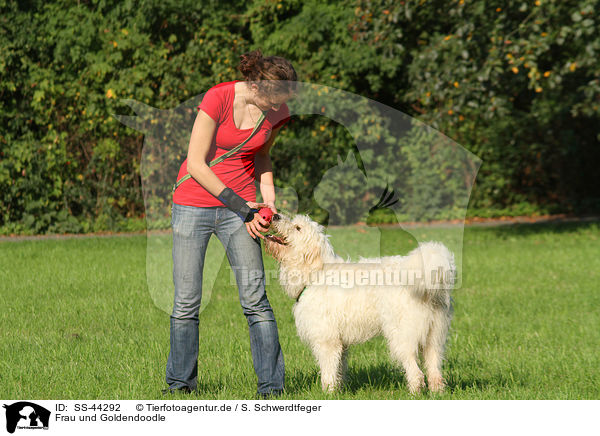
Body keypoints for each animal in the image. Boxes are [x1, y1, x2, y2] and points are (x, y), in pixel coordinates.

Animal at [264, 213, 458, 394]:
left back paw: (414, 393)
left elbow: (328, 371)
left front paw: (327, 393)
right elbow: (339, 369)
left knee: (416, 373)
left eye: (298, 228)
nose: (275, 215)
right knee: (435, 372)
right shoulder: (340, 343)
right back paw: (437, 392)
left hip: (402, 336)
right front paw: (338, 391)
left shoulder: (326, 339)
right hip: (434, 337)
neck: (315, 272)